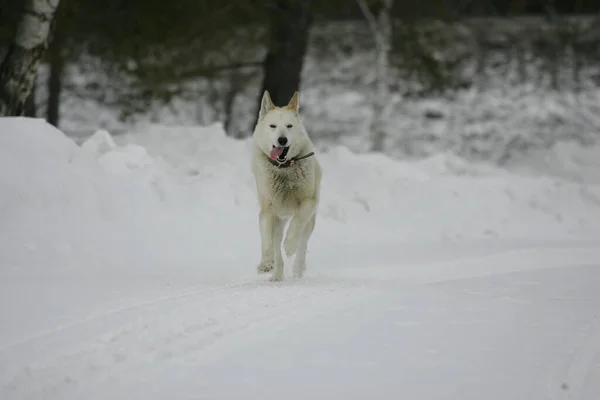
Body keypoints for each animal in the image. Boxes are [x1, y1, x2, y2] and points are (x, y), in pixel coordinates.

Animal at [250, 90, 322, 282]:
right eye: (273, 126)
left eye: (289, 126)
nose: (282, 140)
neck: (283, 169)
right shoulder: (268, 210)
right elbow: (267, 240)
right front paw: (266, 263)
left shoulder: (308, 202)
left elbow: (297, 223)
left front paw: (290, 245)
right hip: (279, 221)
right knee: (276, 245)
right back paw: (276, 274)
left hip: (310, 221)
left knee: (303, 242)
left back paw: (297, 268)